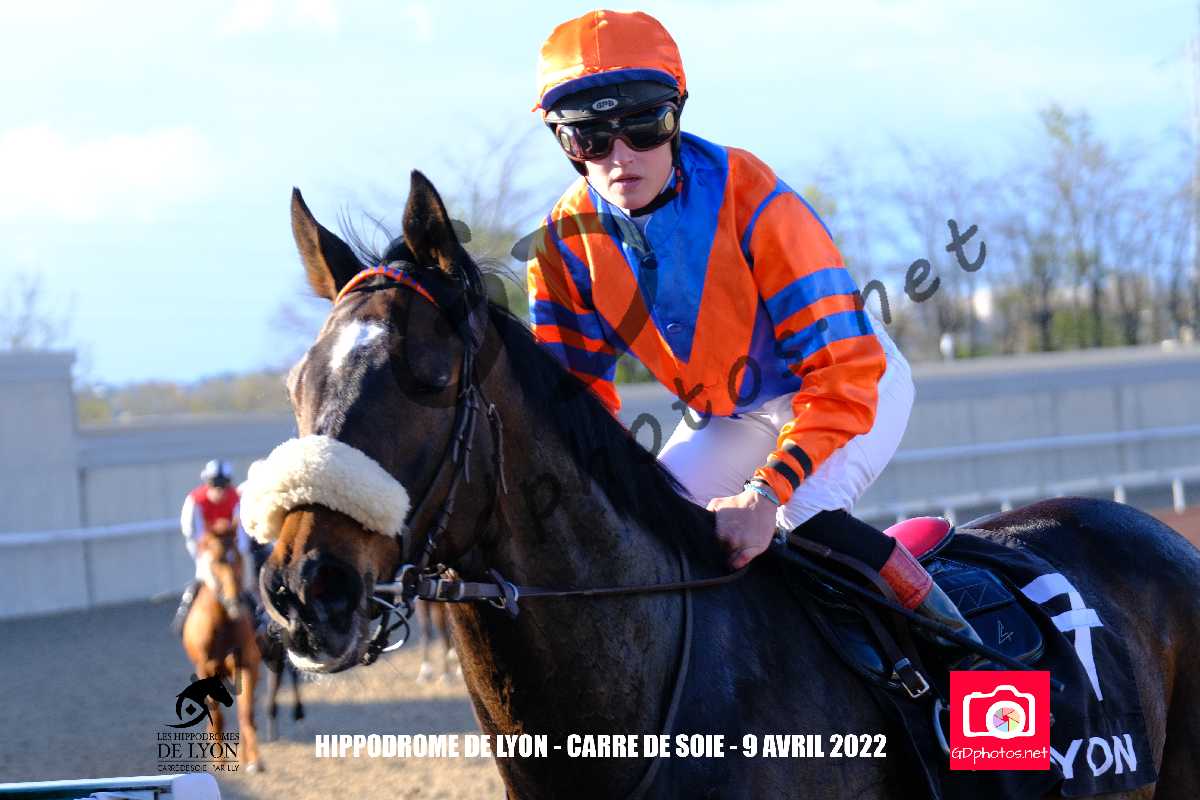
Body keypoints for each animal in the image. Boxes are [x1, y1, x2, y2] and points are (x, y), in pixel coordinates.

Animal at [182, 520, 263, 772]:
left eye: (236, 555)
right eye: (217, 560)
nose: (235, 601)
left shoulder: (247, 665)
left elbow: (246, 712)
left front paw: (254, 760)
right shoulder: (205, 670)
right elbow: (216, 715)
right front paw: (218, 759)